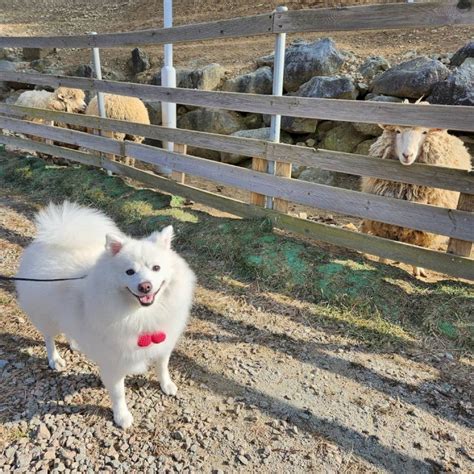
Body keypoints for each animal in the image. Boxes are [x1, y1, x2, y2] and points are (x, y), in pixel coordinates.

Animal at [16, 201, 194, 430]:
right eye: (129, 272)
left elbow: (162, 367)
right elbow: (118, 394)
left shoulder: (163, 344)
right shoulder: (114, 362)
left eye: (156, 268)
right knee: (49, 338)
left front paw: (167, 385)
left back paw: (76, 343)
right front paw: (122, 416)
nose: (145, 286)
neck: (140, 314)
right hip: (47, 315)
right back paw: (55, 359)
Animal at [362, 107, 472, 278]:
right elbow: (385, 243)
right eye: (398, 131)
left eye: (424, 132)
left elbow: (418, 249)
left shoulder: (424, 227)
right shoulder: (384, 219)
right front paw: (382, 261)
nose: (407, 155)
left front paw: (418, 270)